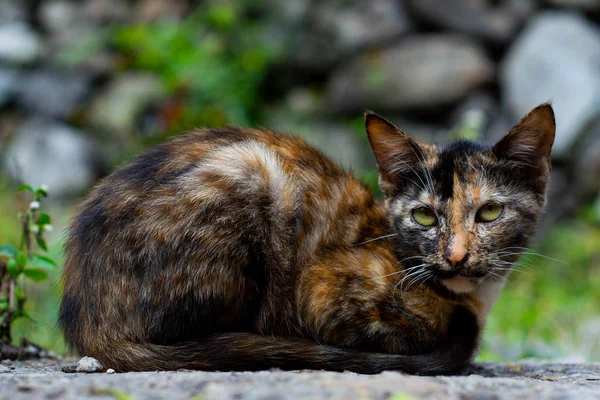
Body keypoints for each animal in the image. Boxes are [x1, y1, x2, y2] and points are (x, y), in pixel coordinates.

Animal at [58, 103, 556, 376]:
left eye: (489, 212)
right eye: (424, 216)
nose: (455, 256)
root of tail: (89, 321)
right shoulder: (320, 291)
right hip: (253, 170)